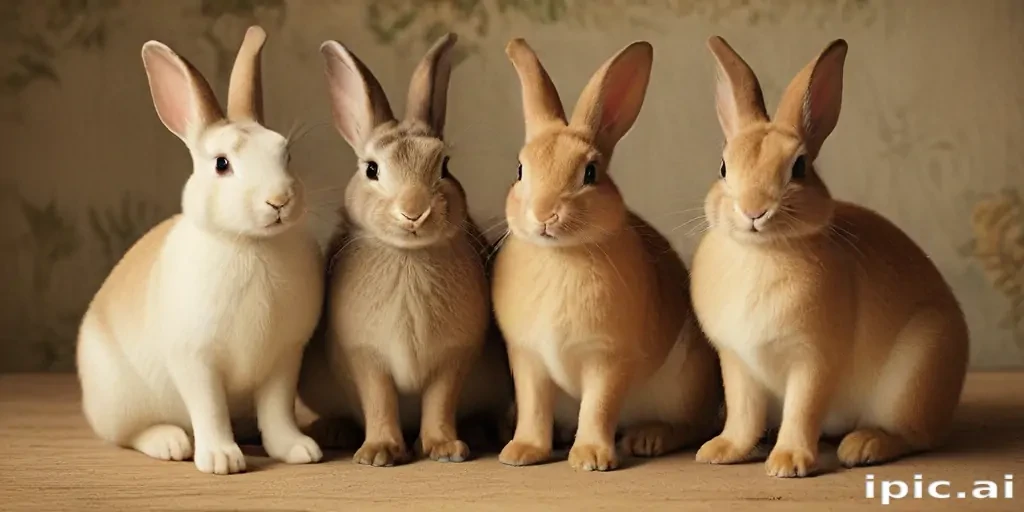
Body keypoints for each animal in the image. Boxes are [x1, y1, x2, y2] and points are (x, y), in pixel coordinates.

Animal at [75, 26, 325, 475]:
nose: (279, 200)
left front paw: (297, 449)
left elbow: (278, 411)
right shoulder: (196, 361)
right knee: (129, 435)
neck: (249, 243)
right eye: (222, 164)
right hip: (122, 402)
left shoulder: (283, 360)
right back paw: (171, 443)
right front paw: (222, 460)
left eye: (286, 154)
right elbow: (210, 410)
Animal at [295, 32, 513, 467]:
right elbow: (379, 401)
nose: (414, 211)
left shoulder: (453, 359)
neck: (408, 254)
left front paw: (445, 449)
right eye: (372, 169)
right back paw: (335, 431)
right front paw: (379, 453)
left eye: (445, 166)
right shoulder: (365, 357)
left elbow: (440, 402)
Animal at [491, 38, 723, 472]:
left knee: (692, 426)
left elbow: (598, 407)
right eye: (519, 170)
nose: (544, 214)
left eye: (590, 173)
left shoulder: (609, 359)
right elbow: (533, 408)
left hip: (686, 384)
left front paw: (591, 458)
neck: (560, 254)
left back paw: (648, 438)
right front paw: (522, 452)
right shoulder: (528, 360)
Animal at [690, 36, 970, 478]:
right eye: (722, 167)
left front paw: (787, 463)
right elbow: (743, 414)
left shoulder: (813, 361)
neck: (761, 250)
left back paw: (864, 445)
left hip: (916, 374)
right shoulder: (737, 364)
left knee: (915, 436)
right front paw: (721, 451)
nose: (754, 210)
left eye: (799, 167)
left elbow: (802, 412)